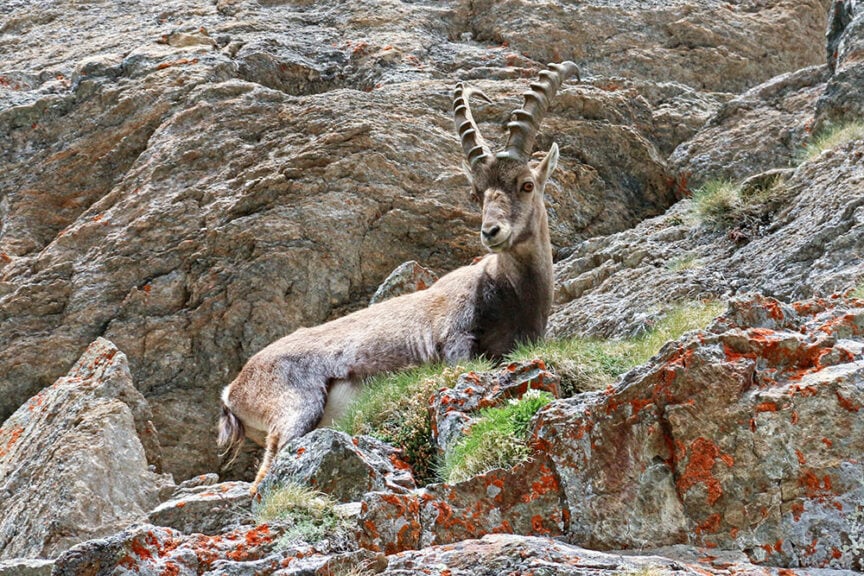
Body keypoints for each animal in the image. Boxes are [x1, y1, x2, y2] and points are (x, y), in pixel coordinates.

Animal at [219, 61, 580, 493]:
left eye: (526, 185)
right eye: (477, 193)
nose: (490, 232)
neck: (512, 295)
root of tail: (233, 390)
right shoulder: (454, 339)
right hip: (296, 408)